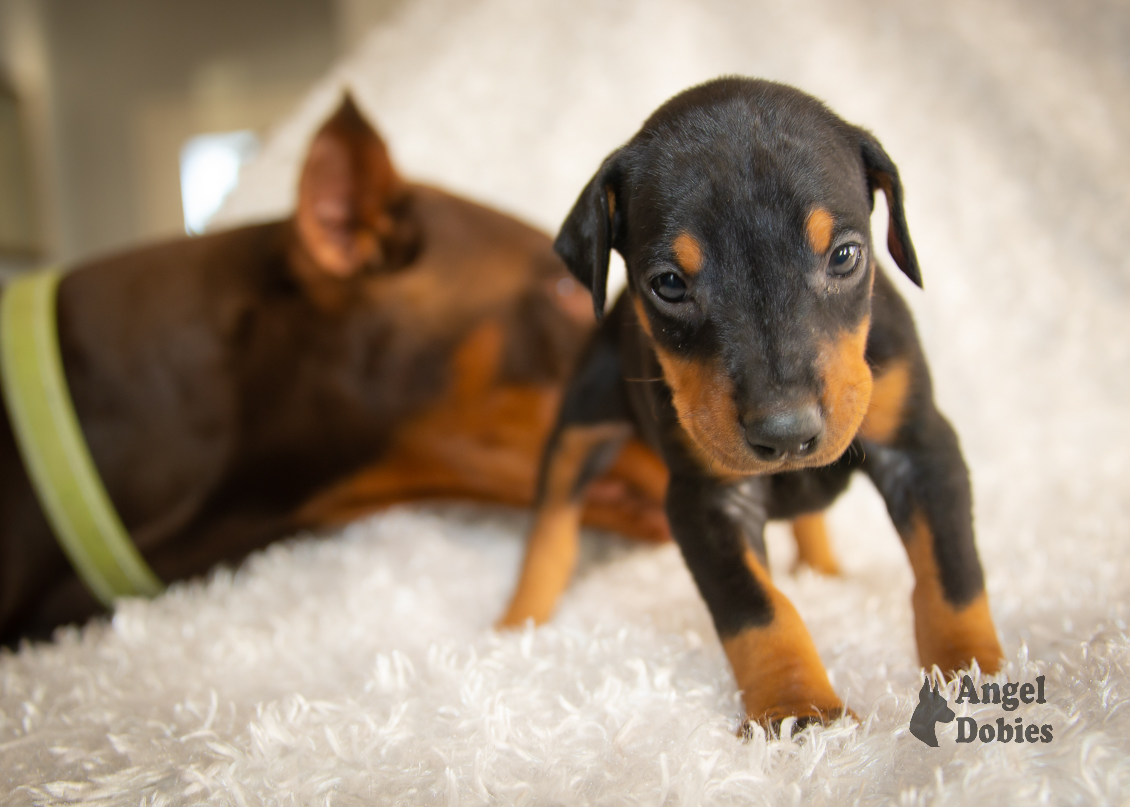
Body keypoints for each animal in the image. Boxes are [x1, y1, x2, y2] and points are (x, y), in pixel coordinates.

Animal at [499, 78, 1003, 727]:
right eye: (669, 284)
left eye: (844, 256)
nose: (785, 433)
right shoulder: (708, 499)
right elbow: (758, 609)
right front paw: (799, 710)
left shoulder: (921, 448)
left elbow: (952, 573)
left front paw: (976, 675)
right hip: (584, 416)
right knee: (553, 523)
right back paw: (520, 627)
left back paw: (823, 569)